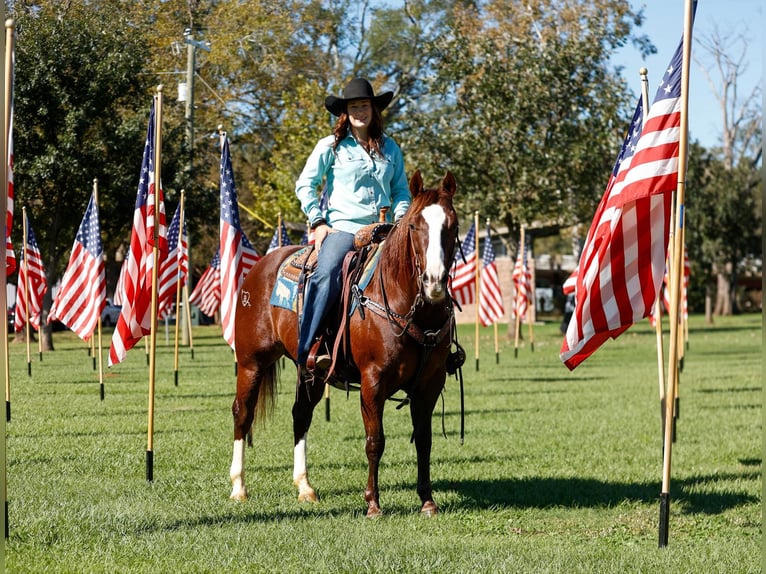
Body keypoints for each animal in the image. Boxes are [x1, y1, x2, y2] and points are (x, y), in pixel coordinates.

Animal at [230, 169, 462, 520]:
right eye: (414, 226)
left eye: (453, 225)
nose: (434, 282)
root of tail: (259, 266)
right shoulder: (372, 381)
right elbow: (374, 440)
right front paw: (373, 503)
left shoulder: (429, 384)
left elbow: (424, 440)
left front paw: (427, 500)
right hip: (251, 363)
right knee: (242, 413)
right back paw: (238, 488)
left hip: (308, 370)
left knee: (300, 415)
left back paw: (305, 487)